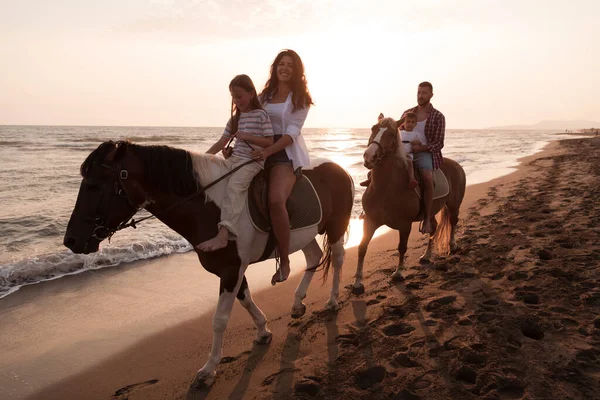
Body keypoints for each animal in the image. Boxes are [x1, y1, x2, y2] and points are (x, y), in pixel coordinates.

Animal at [63, 141, 354, 388]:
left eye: (94, 185)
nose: (71, 240)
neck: (211, 208)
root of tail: (340, 169)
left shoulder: (231, 269)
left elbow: (219, 320)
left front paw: (209, 369)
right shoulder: (233, 269)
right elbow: (245, 299)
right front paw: (263, 330)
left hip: (336, 226)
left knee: (338, 259)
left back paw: (332, 301)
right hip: (305, 233)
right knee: (314, 257)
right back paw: (296, 303)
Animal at [352, 119, 468, 294]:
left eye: (391, 134)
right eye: (373, 128)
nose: (369, 156)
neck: (386, 188)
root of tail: (456, 165)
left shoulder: (404, 225)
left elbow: (402, 247)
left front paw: (398, 273)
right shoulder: (370, 221)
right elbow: (362, 247)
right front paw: (358, 283)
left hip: (454, 205)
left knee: (453, 222)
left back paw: (452, 245)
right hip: (430, 212)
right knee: (433, 227)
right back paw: (426, 256)